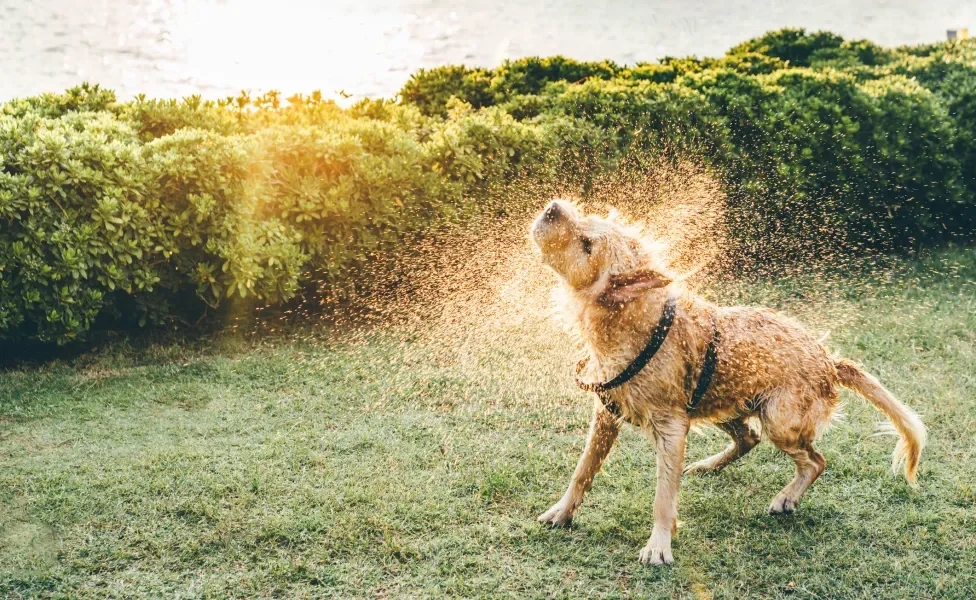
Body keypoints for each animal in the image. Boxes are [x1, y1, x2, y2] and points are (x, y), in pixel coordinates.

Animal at [528, 200, 928, 568]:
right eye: (587, 219)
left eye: (587, 244)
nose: (553, 207)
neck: (631, 322)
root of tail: (828, 359)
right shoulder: (606, 413)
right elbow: (583, 470)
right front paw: (562, 512)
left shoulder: (671, 427)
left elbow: (663, 496)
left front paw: (658, 545)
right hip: (720, 401)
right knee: (749, 438)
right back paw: (709, 465)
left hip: (778, 420)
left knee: (815, 461)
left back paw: (785, 497)